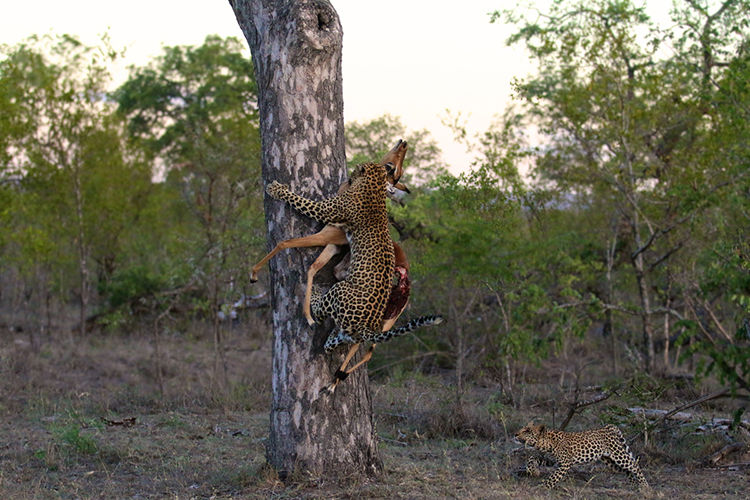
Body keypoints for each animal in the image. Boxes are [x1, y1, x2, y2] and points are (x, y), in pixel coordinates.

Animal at [266, 161, 444, 376]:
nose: (348, 177)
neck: (375, 186)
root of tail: (365, 326)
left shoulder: (325, 211)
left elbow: (300, 202)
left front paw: (276, 189)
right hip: (354, 332)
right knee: (335, 345)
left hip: (341, 291)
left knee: (320, 315)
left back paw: (315, 298)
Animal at [516, 422, 652, 488]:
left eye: (527, 431)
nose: (515, 434)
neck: (543, 444)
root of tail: (609, 427)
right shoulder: (551, 460)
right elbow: (532, 458)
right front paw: (534, 471)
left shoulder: (565, 463)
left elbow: (553, 477)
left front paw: (543, 487)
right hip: (610, 460)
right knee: (627, 469)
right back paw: (635, 485)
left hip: (618, 455)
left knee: (634, 465)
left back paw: (645, 486)